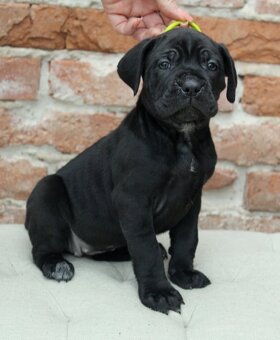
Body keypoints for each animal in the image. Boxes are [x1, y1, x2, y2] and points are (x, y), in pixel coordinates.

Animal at [25, 27, 236, 314]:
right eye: (164, 64)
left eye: (211, 65)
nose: (191, 86)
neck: (181, 137)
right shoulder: (133, 201)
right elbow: (145, 250)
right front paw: (159, 292)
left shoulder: (191, 201)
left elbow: (186, 239)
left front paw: (183, 274)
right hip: (46, 191)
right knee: (41, 247)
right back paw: (56, 265)